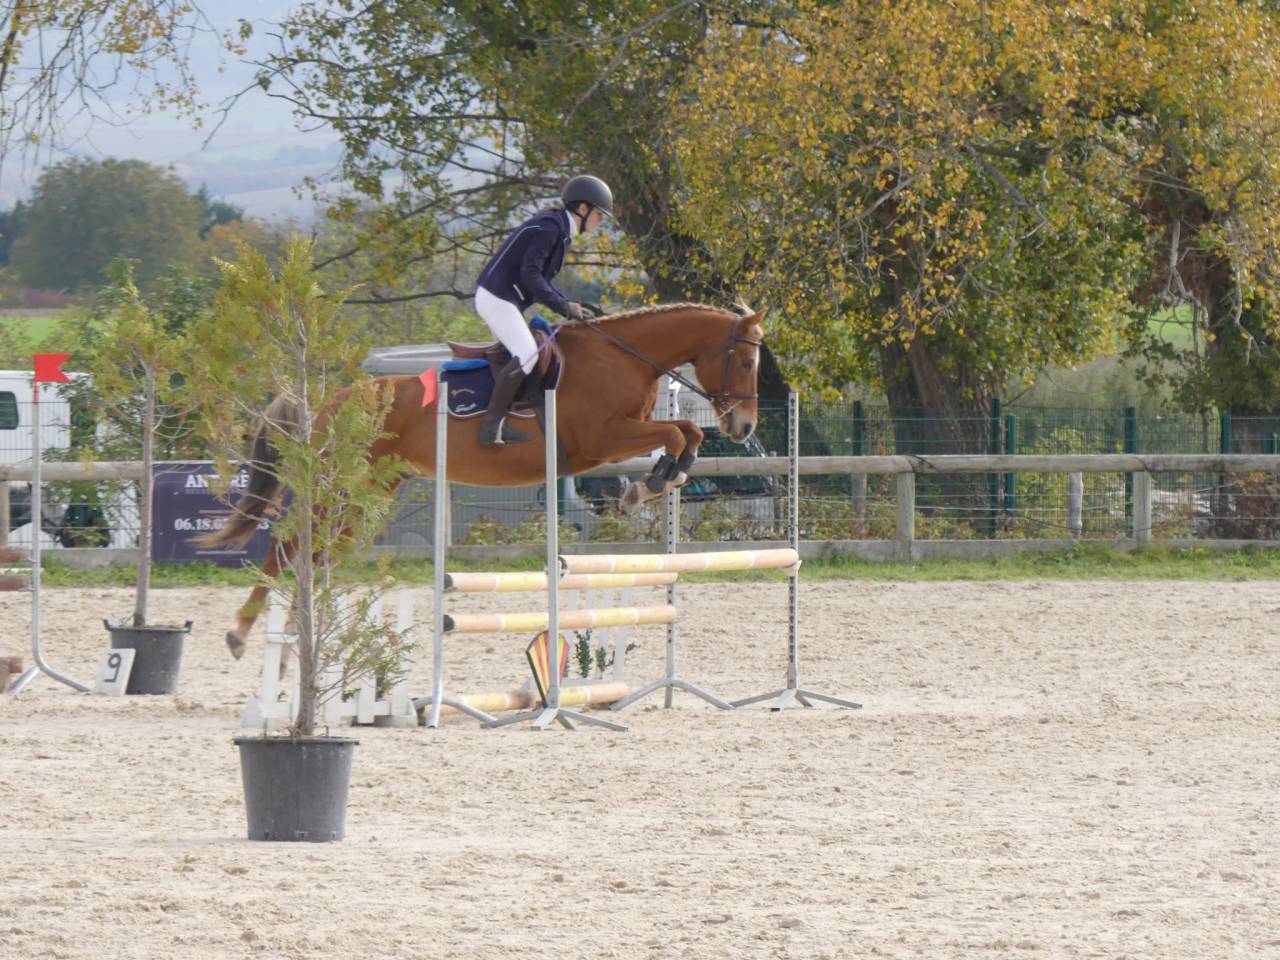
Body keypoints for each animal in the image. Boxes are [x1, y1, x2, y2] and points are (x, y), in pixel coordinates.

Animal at [202, 302, 767, 659]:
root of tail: (326, 401)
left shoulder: (618, 437)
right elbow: (676, 432)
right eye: (744, 359)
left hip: (368, 493)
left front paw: (654, 482)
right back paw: (242, 634)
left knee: (317, 554)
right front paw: (648, 485)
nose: (743, 427)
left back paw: (297, 640)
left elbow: (687, 431)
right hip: (341, 486)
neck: (624, 356)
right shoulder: (601, 438)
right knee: (289, 546)